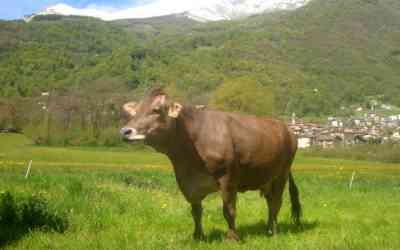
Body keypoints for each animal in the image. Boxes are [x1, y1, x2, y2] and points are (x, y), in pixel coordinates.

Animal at [120, 89, 302, 241]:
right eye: (134, 112)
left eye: (156, 110)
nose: (125, 131)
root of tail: (287, 129)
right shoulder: (187, 182)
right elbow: (196, 211)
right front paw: (198, 236)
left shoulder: (228, 178)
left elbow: (228, 210)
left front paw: (232, 238)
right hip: (266, 178)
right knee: (270, 201)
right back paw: (268, 229)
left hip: (281, 174)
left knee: (276, 203)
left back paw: (274, 232)